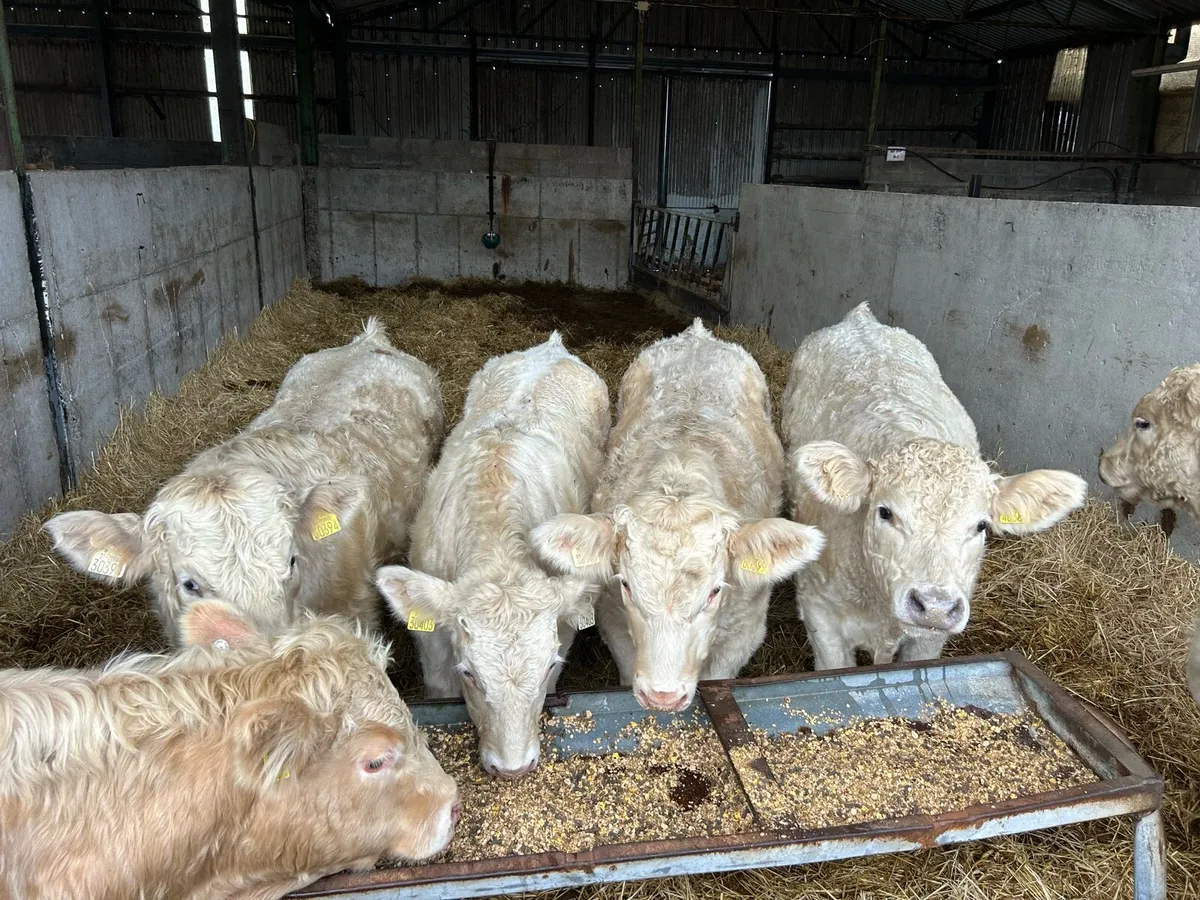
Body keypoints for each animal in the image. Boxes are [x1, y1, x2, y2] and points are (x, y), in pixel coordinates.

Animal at [532, 319, 825, 713]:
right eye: (627, 585)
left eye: (714, 591)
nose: (663, 695)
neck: (681, 475)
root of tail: (697, 334)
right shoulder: (613, 619)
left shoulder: (743, 630)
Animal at [783, 302, 1087, 670]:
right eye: (886, 512)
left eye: (980, 525)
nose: (935, 606)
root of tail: (860, 320)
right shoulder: (819, 613)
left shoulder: (930, 639)